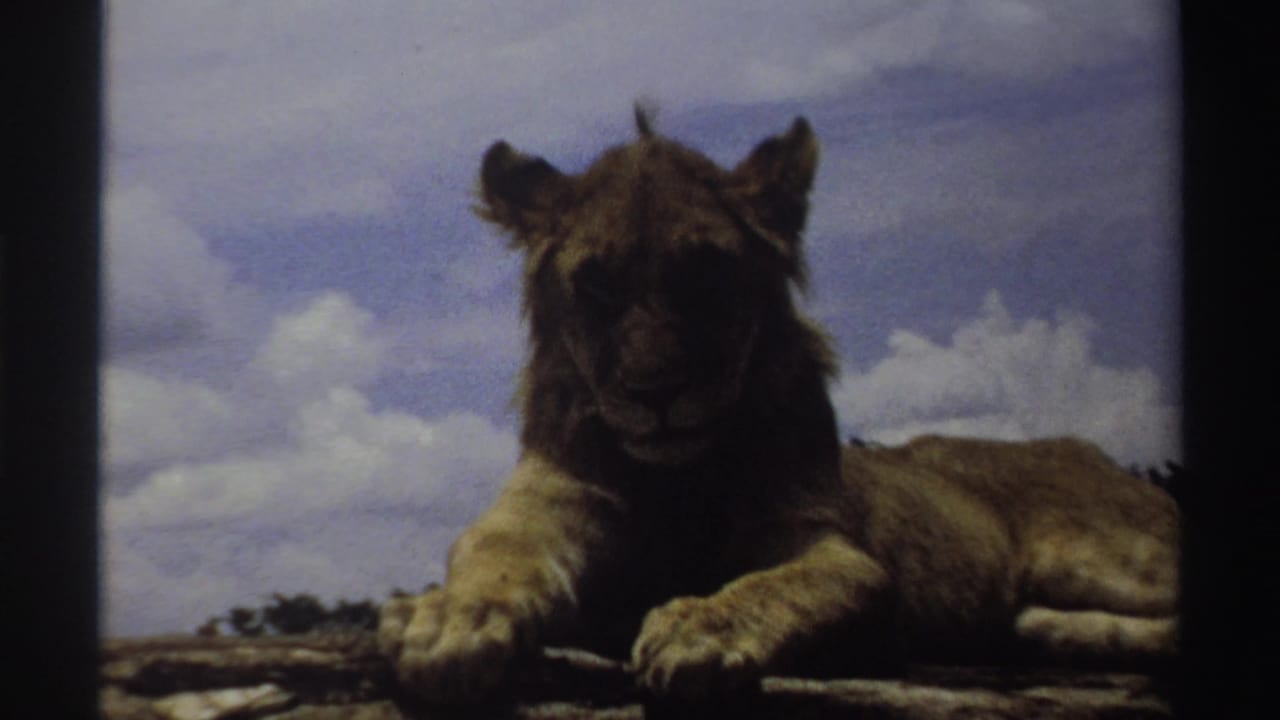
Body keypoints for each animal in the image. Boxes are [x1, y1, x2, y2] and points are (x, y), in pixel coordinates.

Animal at [378, 109, 1179, 703]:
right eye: (598, 284)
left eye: (707, 274)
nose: (654, 392)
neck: (673, 478)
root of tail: (1088, 449)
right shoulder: (545, 505)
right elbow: (492, 555)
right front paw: (443, 616)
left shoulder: (831, 546)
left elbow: (791, 582)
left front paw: (702, 627)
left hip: (1099, 551)